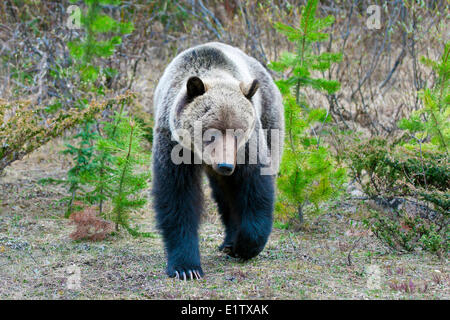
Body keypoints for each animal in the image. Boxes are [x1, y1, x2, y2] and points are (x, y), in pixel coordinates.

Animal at [153, 42, 284, 280]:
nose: (226, 165)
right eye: (211, 132)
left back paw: (231, 242)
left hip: (270, 118)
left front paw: (245, 246)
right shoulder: (174, 145)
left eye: (238, 132)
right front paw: (186, 267)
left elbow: (255, 188)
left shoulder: (248, 148)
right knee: (224, 196)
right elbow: (177, 196)